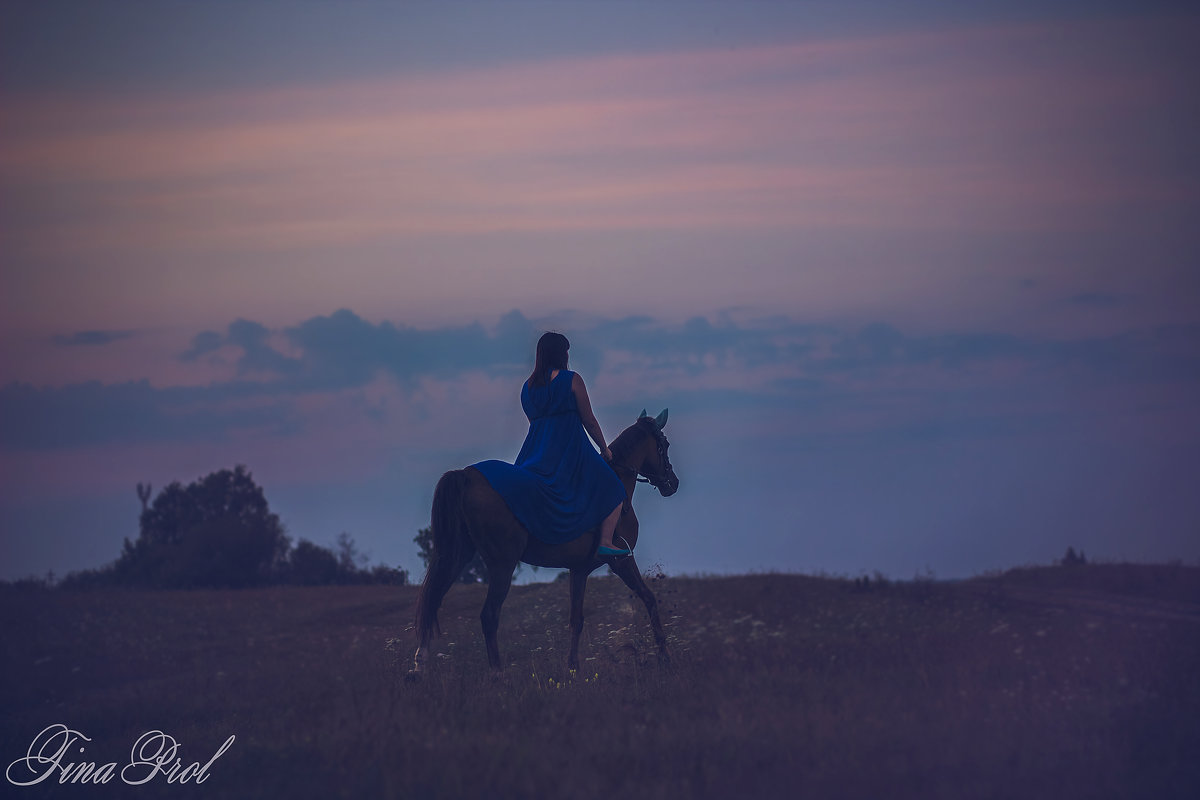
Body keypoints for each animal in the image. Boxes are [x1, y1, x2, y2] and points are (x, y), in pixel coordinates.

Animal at [410, 410, 676, 681]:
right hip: (502, 564)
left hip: (457, 556)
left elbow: (576, 619)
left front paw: (573, 667)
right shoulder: (621, 561)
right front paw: (665, 655)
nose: (672, 483)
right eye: (664, 445)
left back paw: (420, 664)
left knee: (432, 600)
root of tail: (467, 475)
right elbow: (649, 598)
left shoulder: (579, 570)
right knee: (488, 615)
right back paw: (497, 672)